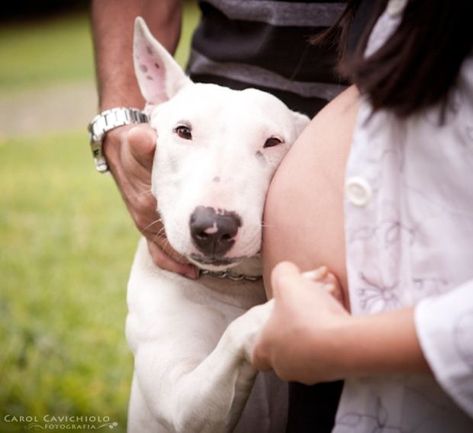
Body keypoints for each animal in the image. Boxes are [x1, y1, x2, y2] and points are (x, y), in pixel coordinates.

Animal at [126, 17, 310, 432]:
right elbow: (234, 334)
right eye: (183, 131)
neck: (232, 286)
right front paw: (286, 309)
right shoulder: (181, 402)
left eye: (272, 142)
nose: (213, 227)